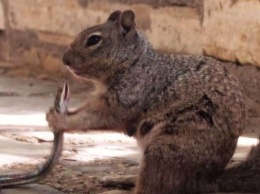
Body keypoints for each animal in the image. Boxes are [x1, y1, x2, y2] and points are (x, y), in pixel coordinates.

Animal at [46, 10, 260, 194]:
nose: (65, 60)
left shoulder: (126, 98)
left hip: (166, 149)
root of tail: (209, 180)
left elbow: (95, 117)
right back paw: (122, 178)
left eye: (94, 39)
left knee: (155, 188)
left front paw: (57, 119)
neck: (134, 63)